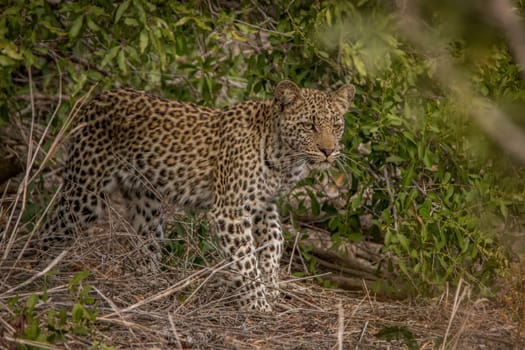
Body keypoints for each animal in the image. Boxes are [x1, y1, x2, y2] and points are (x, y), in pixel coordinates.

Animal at [39, 81, 354, 312]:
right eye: (309, 125)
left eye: (336, 126)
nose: (329, 151)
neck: (284, 157)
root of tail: (95, 99)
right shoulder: (231, 210)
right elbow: (246, 260)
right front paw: (259, 306)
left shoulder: (264, 205)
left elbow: (275, 241)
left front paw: (272, 285)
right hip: (85, 194)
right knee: (51, 227)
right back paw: (40, 272)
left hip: (145, 201)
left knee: (146, 244)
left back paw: (151, 285)